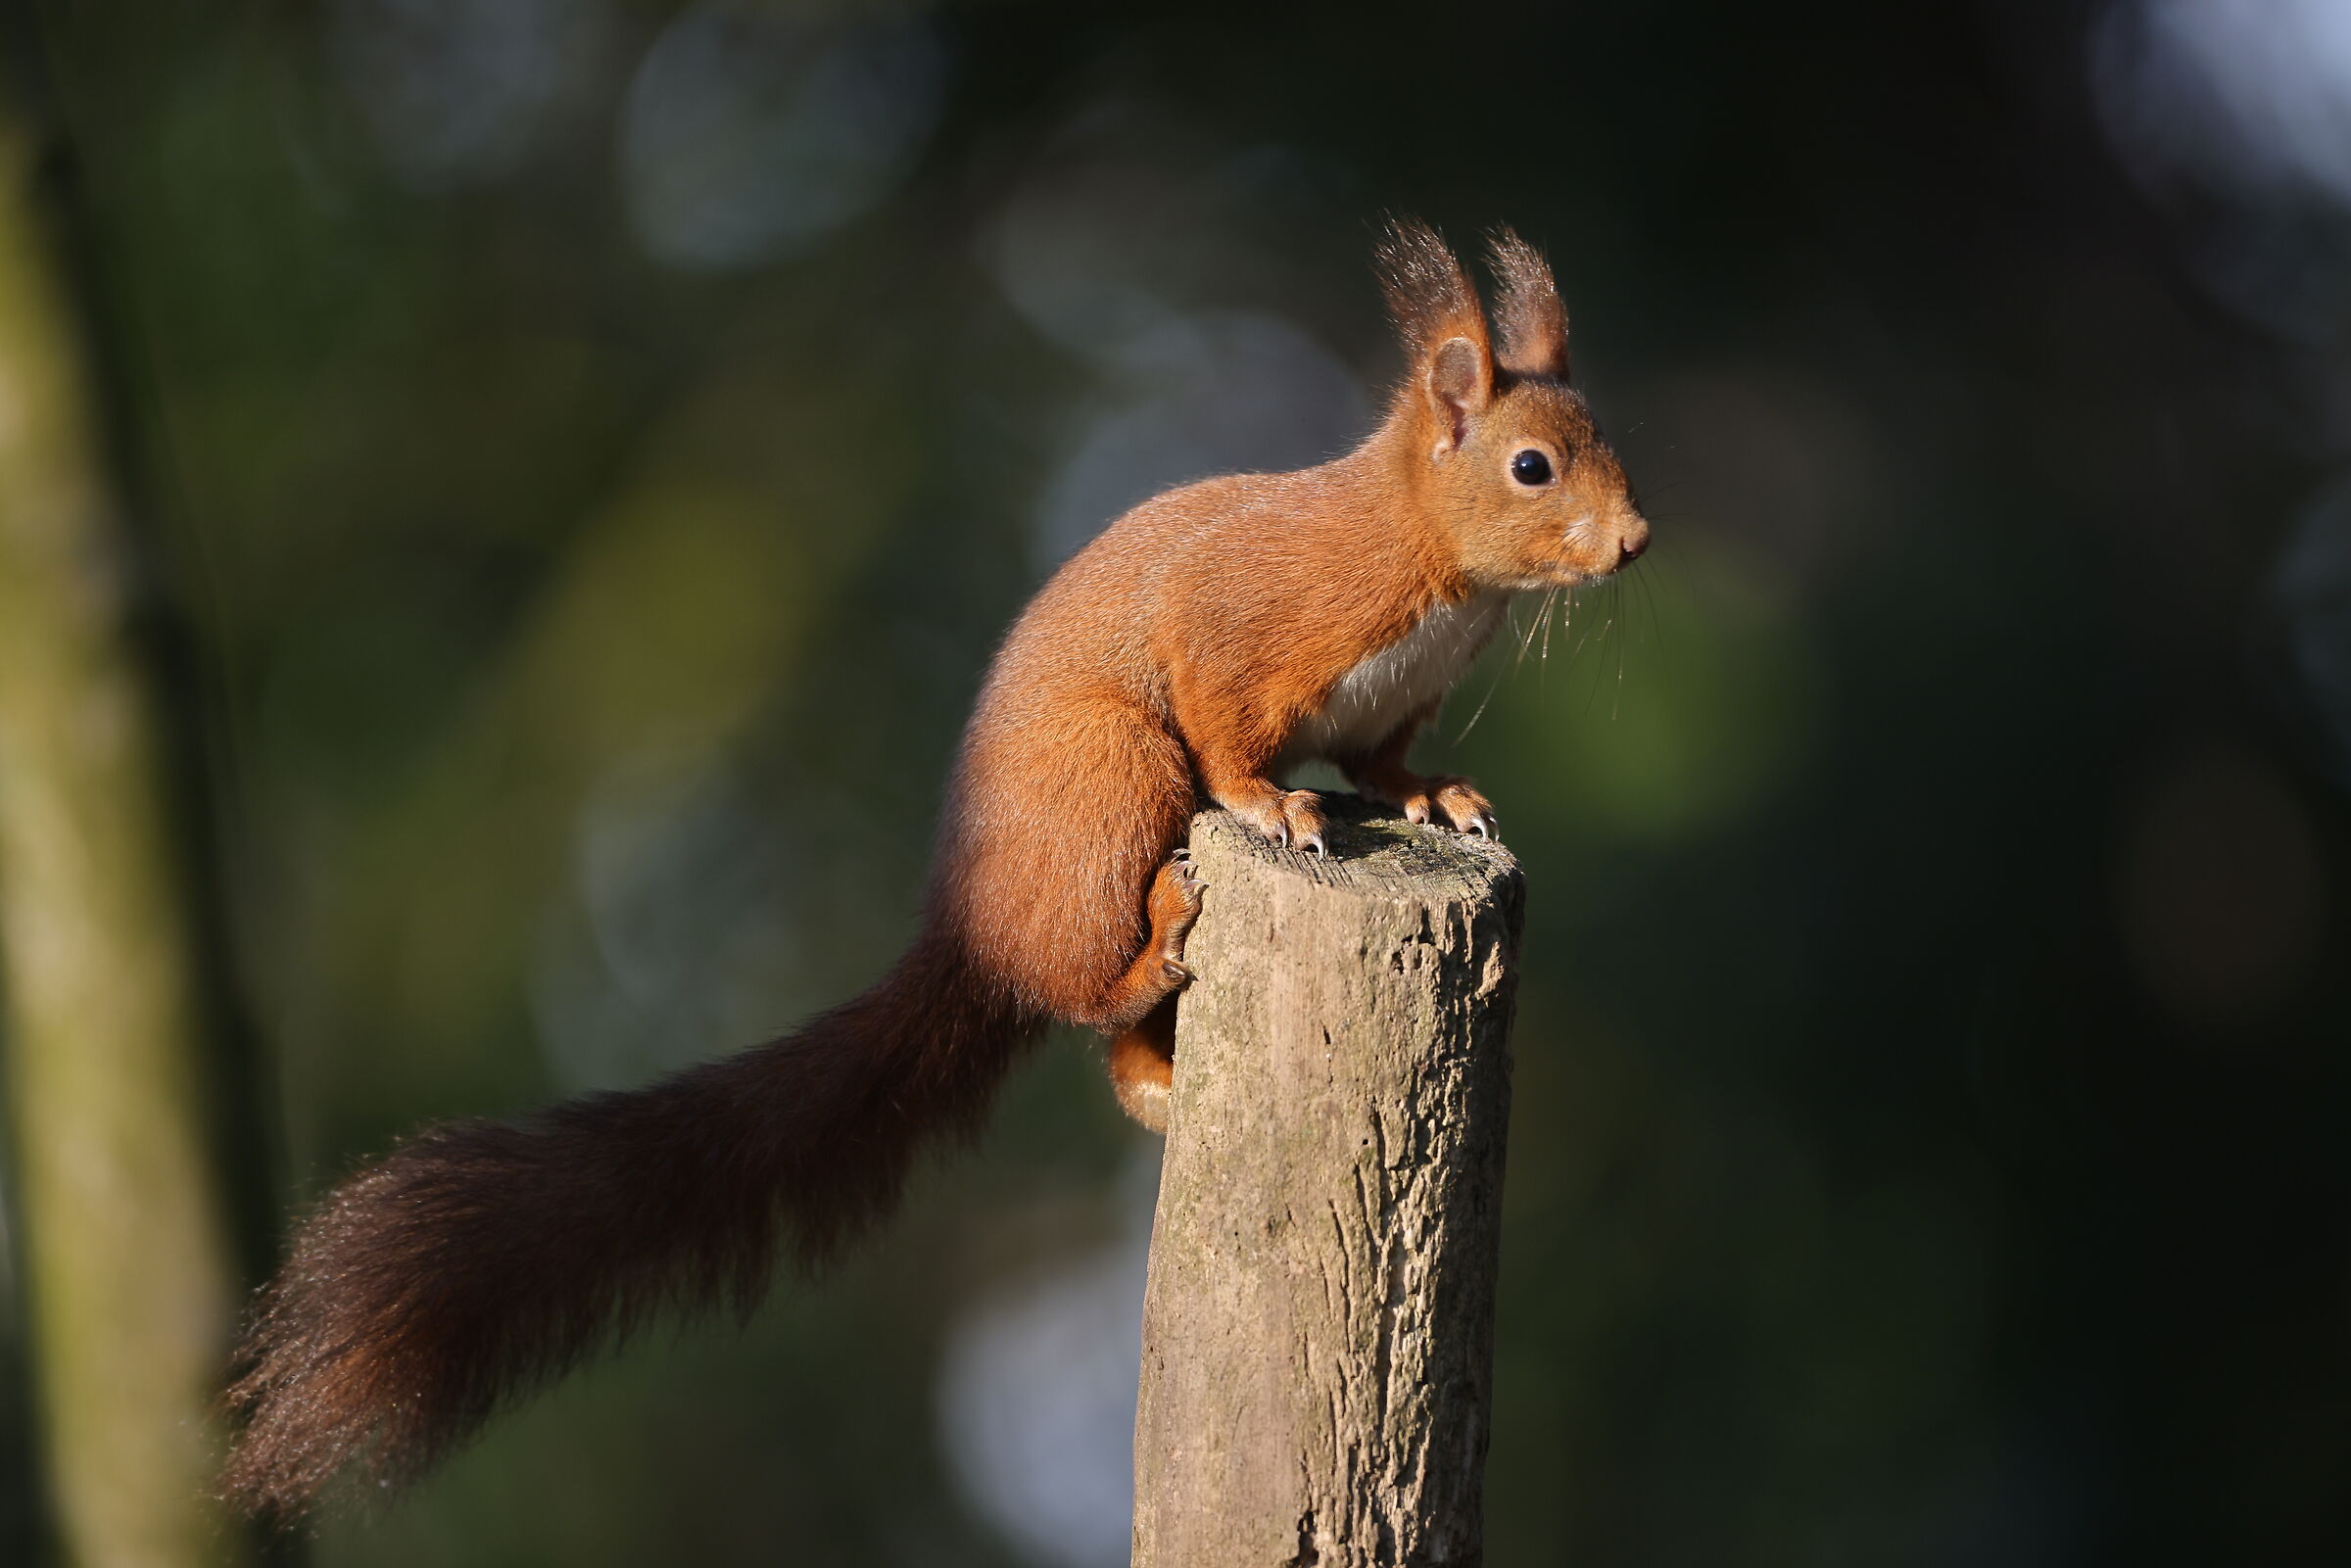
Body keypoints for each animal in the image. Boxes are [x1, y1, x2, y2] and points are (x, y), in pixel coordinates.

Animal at [220, 217, 1649, 1516]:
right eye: (1532, 465)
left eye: (1601, 438)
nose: (1635, 539)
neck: (1433, 565)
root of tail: (971, 927)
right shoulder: (1245, 625)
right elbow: (1222, 713)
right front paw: (1275, 805)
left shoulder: (1387, 706)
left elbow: (1389, 762)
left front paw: (1440, 796)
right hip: (1112, 782)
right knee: (1090, 980)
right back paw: (1162, 931)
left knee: (1111, 1044)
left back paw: (1164, 1074)